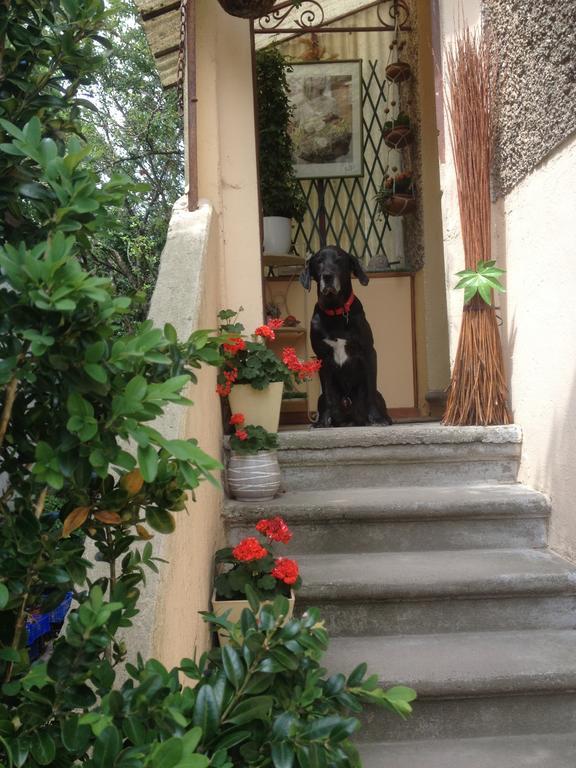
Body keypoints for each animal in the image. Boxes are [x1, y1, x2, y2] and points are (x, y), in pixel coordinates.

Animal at [302, 246, 392, 428]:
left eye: (339, 260)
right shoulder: (322, 358)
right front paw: (322, 421)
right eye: (319, 261)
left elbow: (370, 389)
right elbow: (328, 393)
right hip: (321, 399)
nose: (327, 276)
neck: (335, 311)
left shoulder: (368, 353)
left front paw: (377, 418)